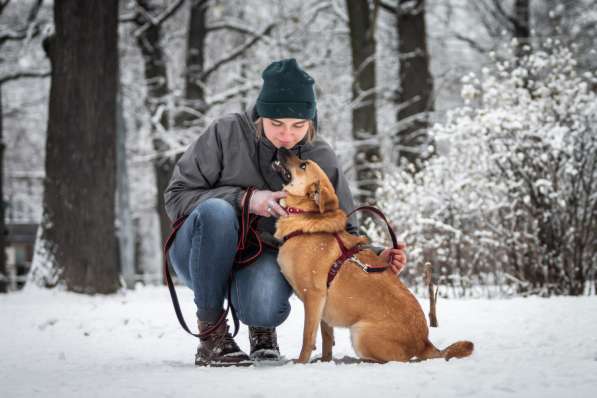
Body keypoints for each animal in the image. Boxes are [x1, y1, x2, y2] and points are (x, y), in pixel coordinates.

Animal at [272, 148, 472, 364]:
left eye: (303, 165)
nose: (282, 148)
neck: (303, 218)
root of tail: (424, 343)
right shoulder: (323, 309)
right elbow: (326, 337)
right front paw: (325, 361)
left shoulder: (314, 297)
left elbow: (307, 337)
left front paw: (301, 363)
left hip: (360, 333)